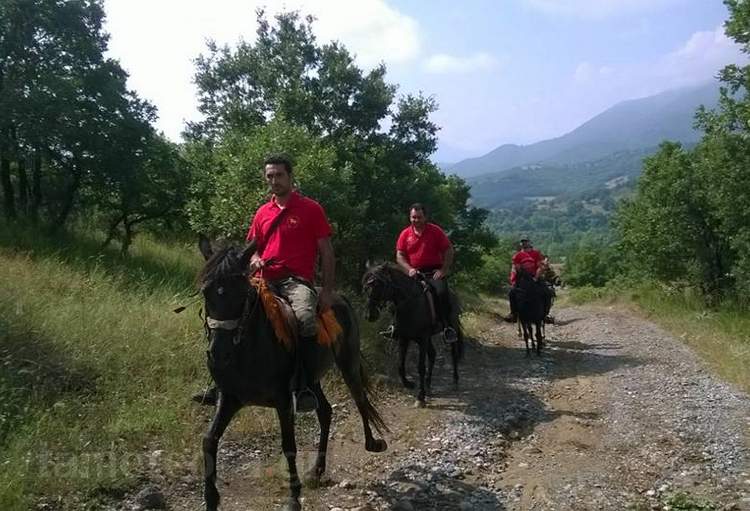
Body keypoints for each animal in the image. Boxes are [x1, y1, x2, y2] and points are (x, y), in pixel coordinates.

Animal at [197, 241, 390, 511]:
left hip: (348, 363)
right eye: (206, 292)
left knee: (360, 400)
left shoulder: (283, 401)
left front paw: (294, 499)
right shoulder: (229, 398)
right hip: (312, 381)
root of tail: (339, 297)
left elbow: (289, 446)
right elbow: (209, 440)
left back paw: (372, 443)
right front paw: (211, 498)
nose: (218, 354)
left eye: (242, 294)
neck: (249, 348)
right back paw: (317, 470)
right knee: (325, 411)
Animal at [362, 264, 464, 408]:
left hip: (451, 329)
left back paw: (455, 381)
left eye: (379, 285)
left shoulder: (422, 338)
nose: (369, 315)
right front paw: (409, 384)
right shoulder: (403, 339)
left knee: (453, 354)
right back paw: (428, 385)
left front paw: (420, 397)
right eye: (365, 287)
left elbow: (420, 367)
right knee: (432, 354)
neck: (410, 304)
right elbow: (400, 366)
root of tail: (454, 295)